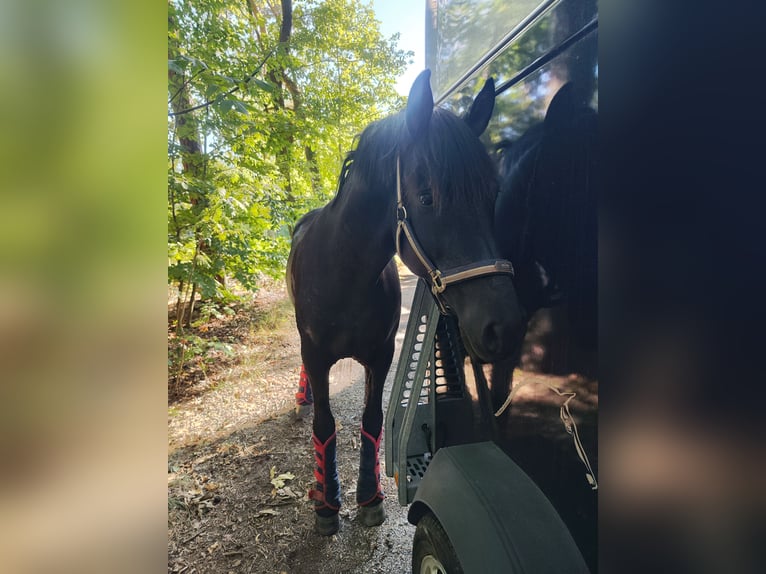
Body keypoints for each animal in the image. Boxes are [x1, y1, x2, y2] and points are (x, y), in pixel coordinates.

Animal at [288, 71, 528, 536]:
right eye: (427, 197)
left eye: (492, 193)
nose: (503, 327)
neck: (343, 275)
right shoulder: (318, 355)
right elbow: (325, 424)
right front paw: (327, 504)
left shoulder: (381, 355)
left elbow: (371, 419)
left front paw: (369, 498)